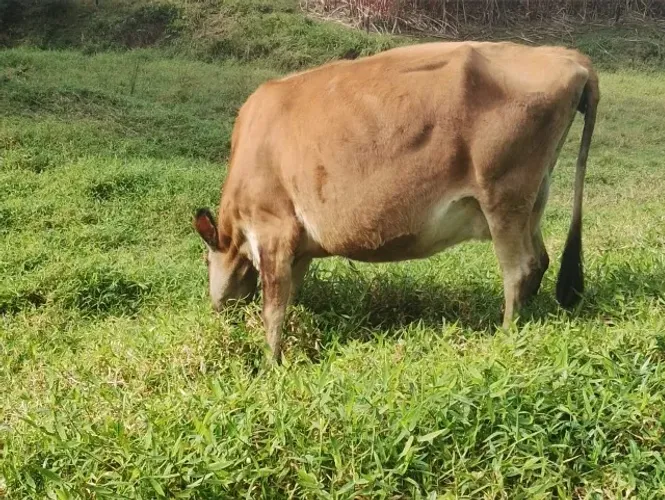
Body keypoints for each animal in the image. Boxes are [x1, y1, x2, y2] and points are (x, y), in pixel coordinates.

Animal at [194, 41, 599, 362]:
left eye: (205, 260)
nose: (217, 310)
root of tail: (566, 55)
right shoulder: (299, 246)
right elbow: (290, 295)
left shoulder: (272, 228)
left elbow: (274, 307)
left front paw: (269, 362)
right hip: (532, 199)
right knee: (541, 259)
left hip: (503, 198)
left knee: (520, 268)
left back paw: (506, 332)